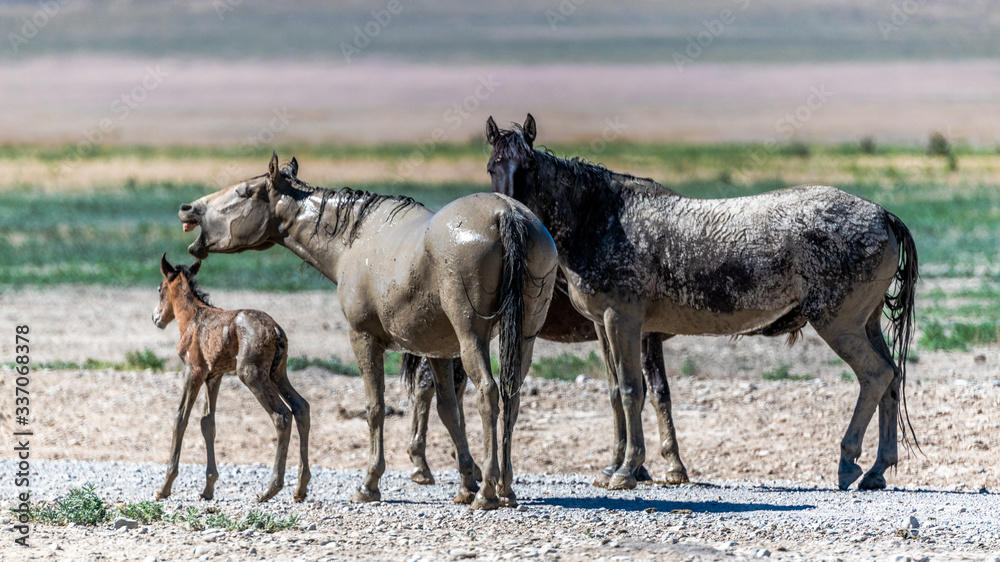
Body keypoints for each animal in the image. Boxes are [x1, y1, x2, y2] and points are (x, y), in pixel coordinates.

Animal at [152, 254, 310, 502]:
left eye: (160, 289)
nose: (156, 318)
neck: (192, 318)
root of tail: (276, 330)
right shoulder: (214, 376)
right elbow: (207, 423)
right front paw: (208, 489)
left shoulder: (194, 371)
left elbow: (180, 418)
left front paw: (164, 487)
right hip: (278, 373)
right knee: (301, 407)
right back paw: (300, 488)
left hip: (251, 375)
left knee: (282, 415)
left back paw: (270, 489)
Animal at [178, 153, 558, 509]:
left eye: (244, 191)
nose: (188, 207)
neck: (354, 240)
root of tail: (505, 212)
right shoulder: (438, 351)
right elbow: (448, 412)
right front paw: (466, 483)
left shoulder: (364, 338)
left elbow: (375, 407)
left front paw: (369, 484)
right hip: (523, 338)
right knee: (511, 396)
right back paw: (505, 489)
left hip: (472, 339)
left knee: (489, 393)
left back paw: (490, 491)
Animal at [485, 114, 918, 491]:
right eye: (492, 167)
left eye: (529, 167)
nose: (511, 213)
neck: (600, 219)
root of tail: (882, 214)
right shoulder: (603, 325)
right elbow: (615, 392)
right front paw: (616, 466)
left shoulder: (622, 321)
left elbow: (631, 390)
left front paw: (627, 470)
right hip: (866, 323)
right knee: (893, 377)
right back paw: (877, 470)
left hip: (838, 324)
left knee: (875, 376)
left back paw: (848, 462)